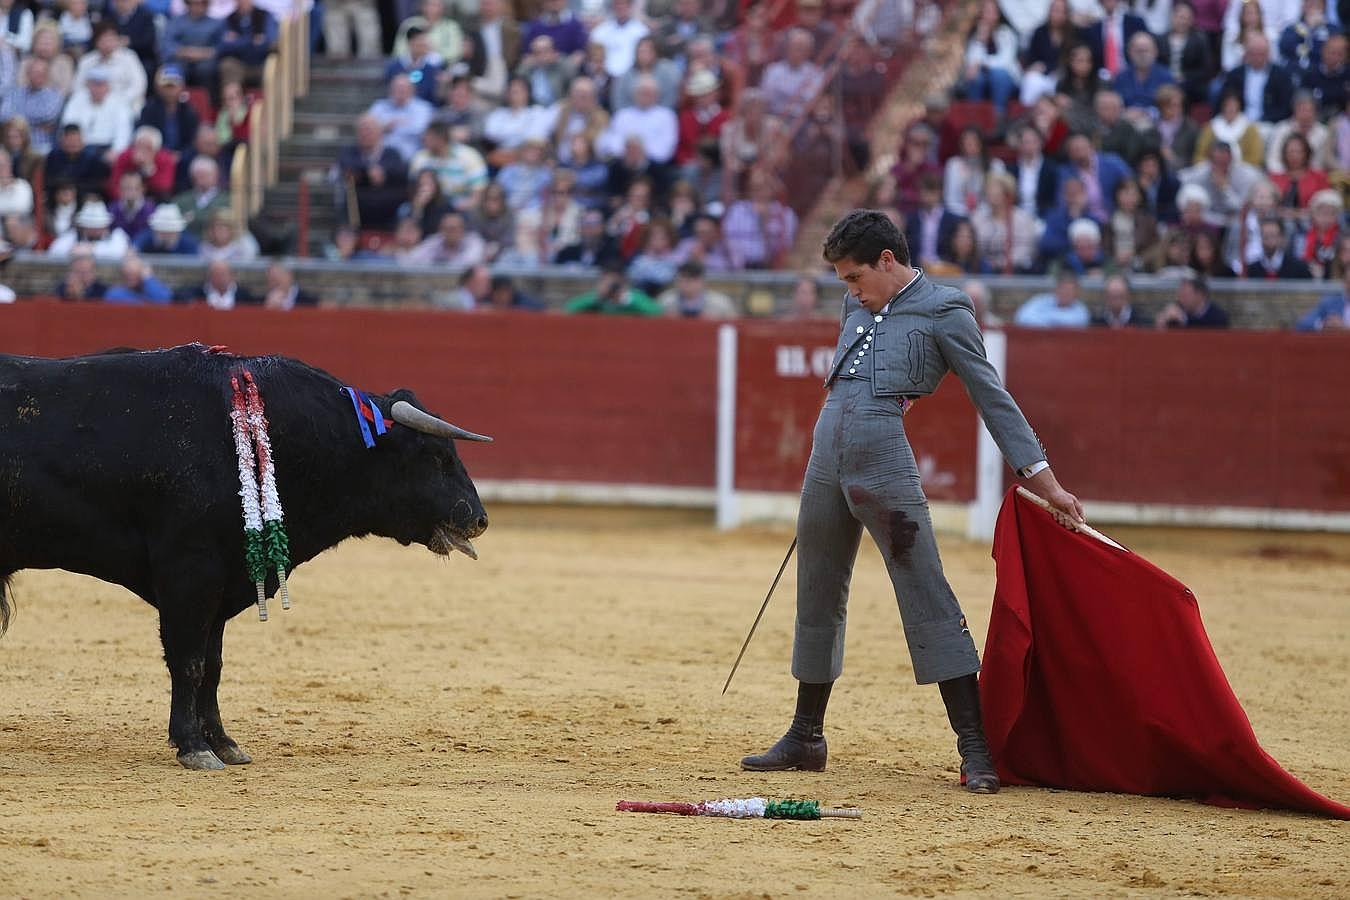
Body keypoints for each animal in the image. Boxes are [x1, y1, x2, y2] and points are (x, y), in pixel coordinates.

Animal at [2, 345, 488, 766]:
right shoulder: (189, 573)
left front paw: (223, 742)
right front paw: (193, 747)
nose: (480, 519)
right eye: (436, 456)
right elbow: (189, 660)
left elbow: (213, 665)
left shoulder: (223, 580)